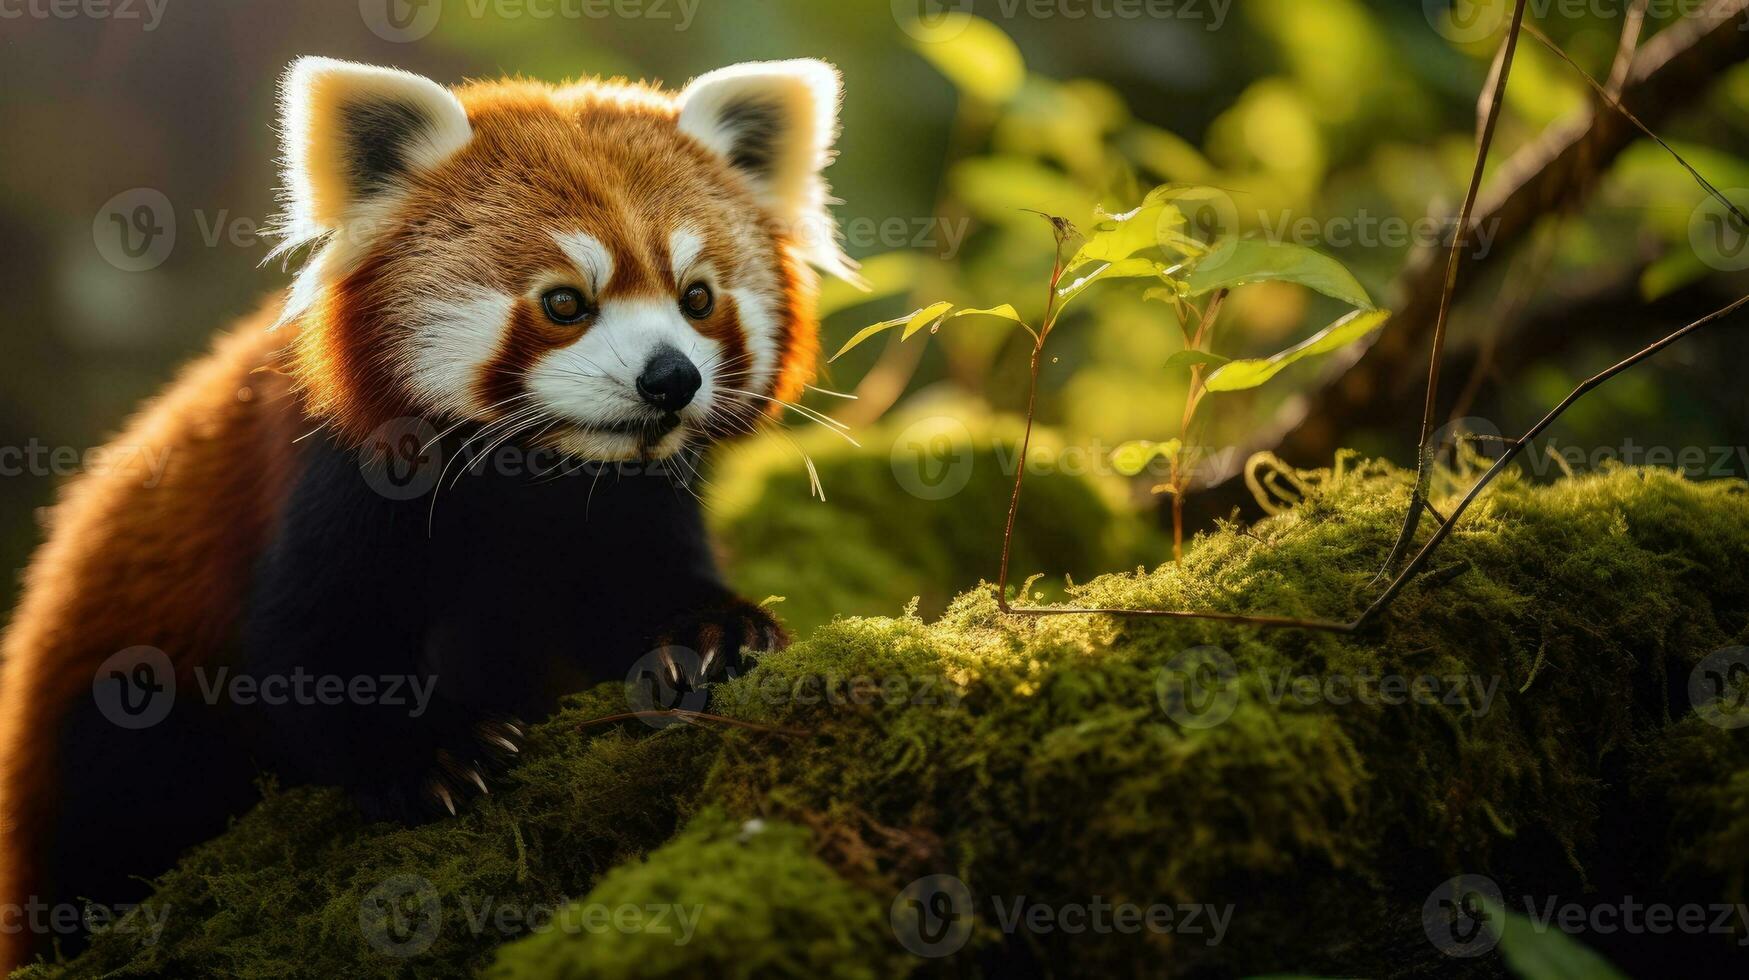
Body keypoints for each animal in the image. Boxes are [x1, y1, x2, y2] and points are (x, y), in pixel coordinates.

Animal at [0, 55, 853, 973]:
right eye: (564, 303)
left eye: (697, 297)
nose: (670, 380)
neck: (539, 472)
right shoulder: (340, 479)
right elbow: (315, 642)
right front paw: (430, 754)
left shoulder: (629, 501)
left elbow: (641, 585)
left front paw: (710, 632)